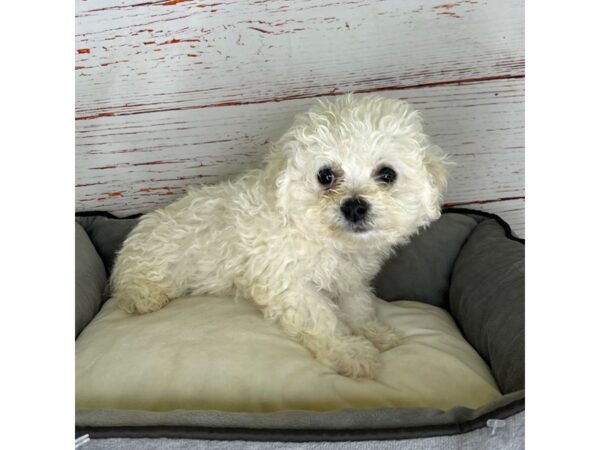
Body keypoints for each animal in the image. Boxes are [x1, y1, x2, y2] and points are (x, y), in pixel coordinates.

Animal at [112, 95, 448, 380]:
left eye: (387, 174)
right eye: (325, 176)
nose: (354, 206)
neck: (323, 238)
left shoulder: (349, 280)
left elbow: (358, 307)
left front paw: (375, 332)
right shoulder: (288, 284)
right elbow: (322, 319)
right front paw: (350, 352)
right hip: (155, 264)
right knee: (131, 286)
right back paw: (141, 297)